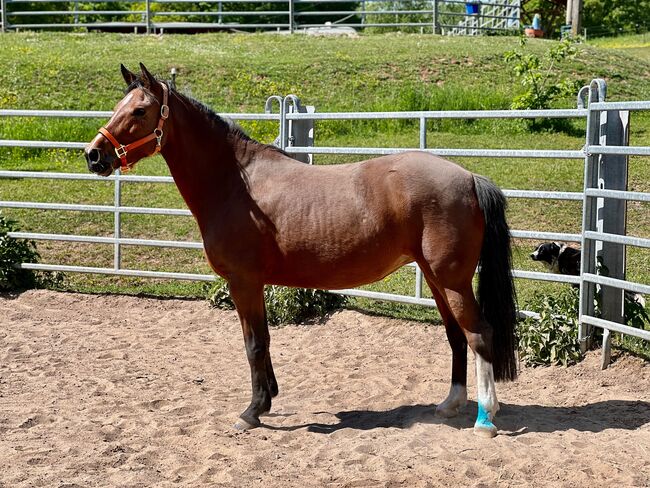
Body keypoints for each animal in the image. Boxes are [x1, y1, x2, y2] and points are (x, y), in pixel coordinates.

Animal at [86, 63, 516, 436]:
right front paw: (267, 399)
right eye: (118, 107)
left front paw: (252, 411)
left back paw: (485, 419)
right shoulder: (253, 285)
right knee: (456, 335)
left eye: (140, 110)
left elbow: (254, 344)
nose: (94, 155)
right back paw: (451, 404)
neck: (236, 184)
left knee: (479, 334)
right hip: (435, 277)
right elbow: (262, 340)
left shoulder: (244, 282)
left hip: (453, 281)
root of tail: (469, 177)